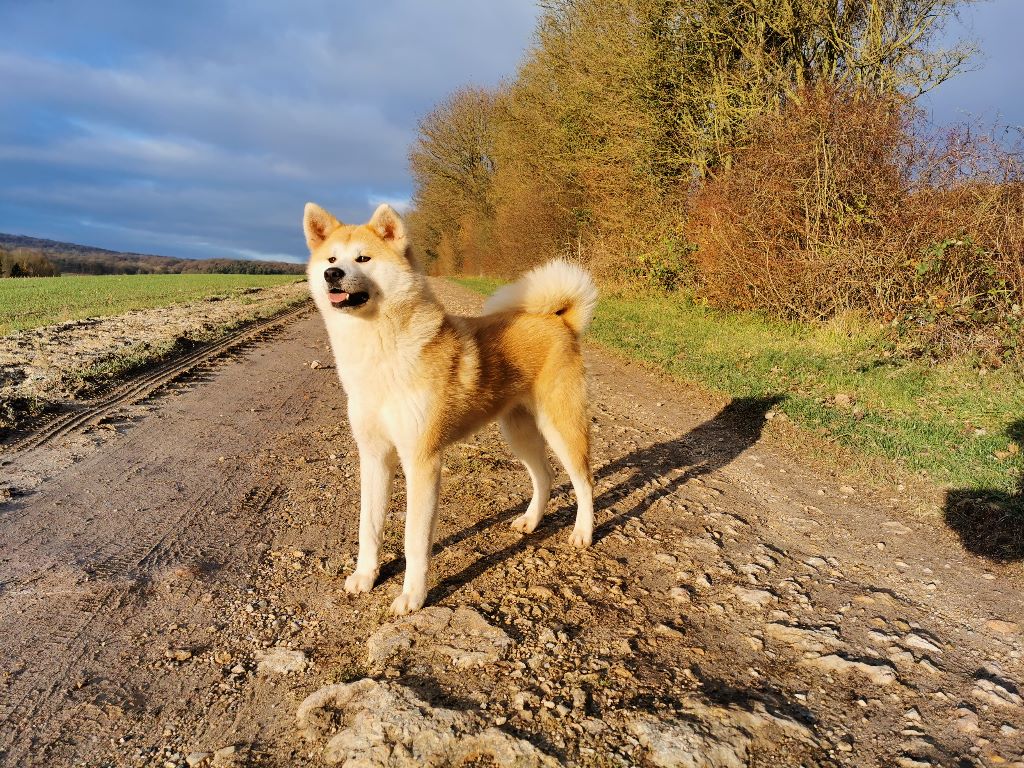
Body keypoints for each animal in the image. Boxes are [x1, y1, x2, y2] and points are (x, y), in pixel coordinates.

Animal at [299, 201, 598, 618]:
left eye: (363, 258)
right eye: (331, 259)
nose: (332, 275)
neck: (379, 351)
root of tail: (559, 319)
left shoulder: (421, 461)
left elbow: (414, 540)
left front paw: (413, 596)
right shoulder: (374, 456)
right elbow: (368, 527)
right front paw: (365, 576)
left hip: (561, 426)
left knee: (583, 482)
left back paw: (583, 532)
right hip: (518, 431)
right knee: (545, 477)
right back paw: (530, 521)